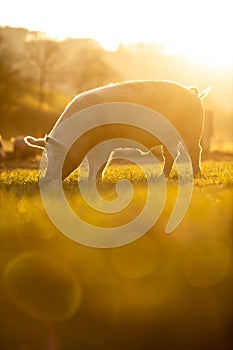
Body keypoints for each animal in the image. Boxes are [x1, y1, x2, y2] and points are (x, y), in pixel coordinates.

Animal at [24, 80, 209, 180]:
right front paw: (94, 180)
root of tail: (193, 92)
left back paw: (196, 175)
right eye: (47, 156)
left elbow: (99, 163)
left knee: (195, 151)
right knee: (171, 155)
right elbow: (97, 163)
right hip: (169, 136)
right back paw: (162, 177)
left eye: (60, 156)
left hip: (192, 131)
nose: (47, 180)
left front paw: (93, 181)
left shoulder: (104, 145)